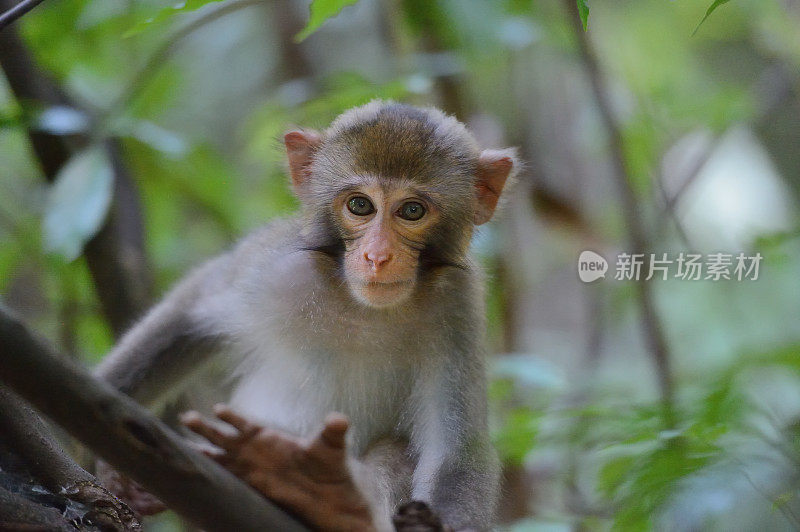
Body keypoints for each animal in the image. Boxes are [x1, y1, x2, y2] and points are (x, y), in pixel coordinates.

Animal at [97, 101, 520, 532]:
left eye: (412, 211)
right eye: (360, 205)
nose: (377, 257)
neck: (361, 309)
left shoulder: (458, 304)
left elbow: (457, 454)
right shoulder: (276, 266)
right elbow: (189, 311)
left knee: (397, 450)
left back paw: (326, 495)